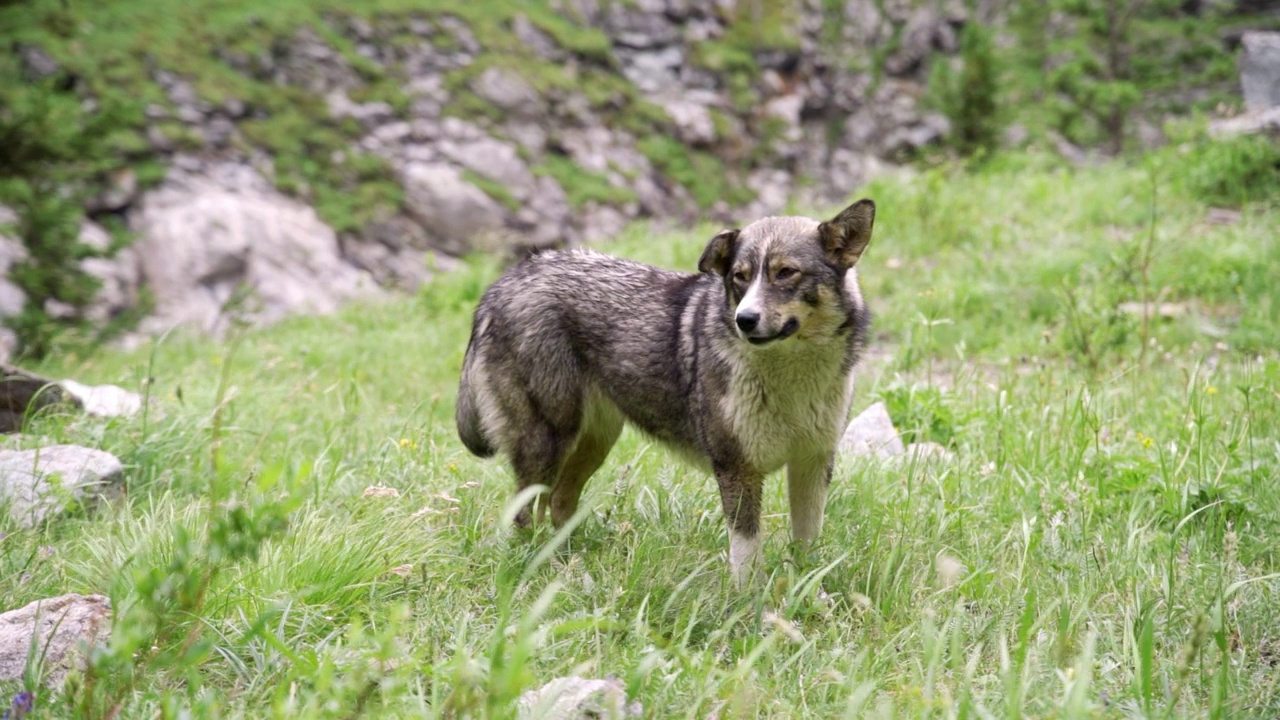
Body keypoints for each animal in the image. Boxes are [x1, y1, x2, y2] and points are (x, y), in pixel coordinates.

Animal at [455, 197, 875, 584]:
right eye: (740, 277)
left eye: (786, 272)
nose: (745, 319)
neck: (792, 377)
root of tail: (503, 283)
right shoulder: (737, 469)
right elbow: (746, 558)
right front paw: (751, 605)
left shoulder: (812, 463)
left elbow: (806, 545)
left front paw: (807, 593)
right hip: (548, 443)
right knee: (526, 516)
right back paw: (548, 571)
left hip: (594, 443)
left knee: (559, 504)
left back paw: (574, 568)